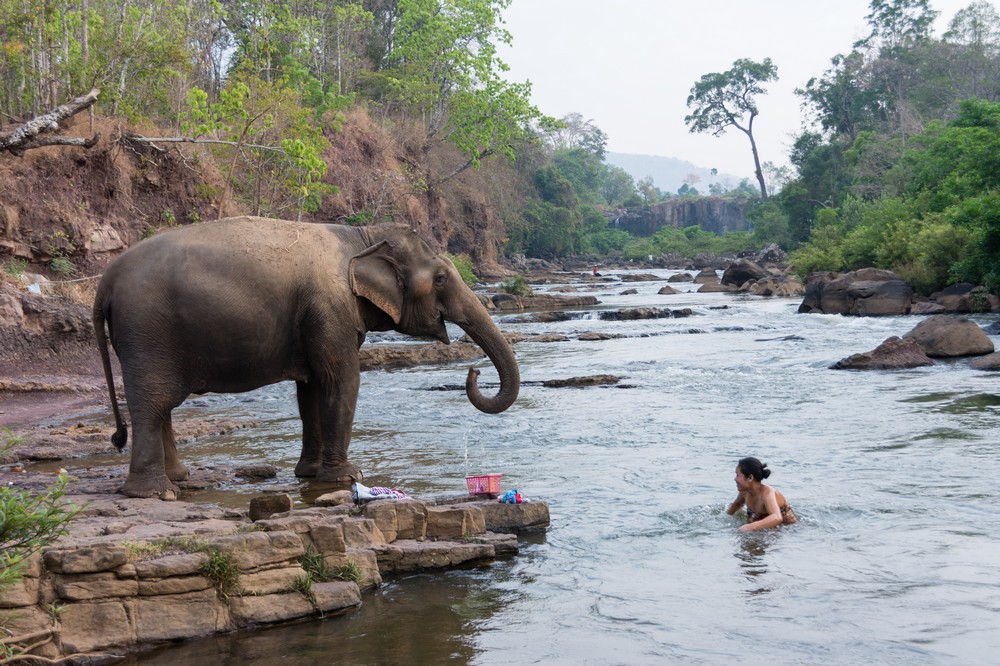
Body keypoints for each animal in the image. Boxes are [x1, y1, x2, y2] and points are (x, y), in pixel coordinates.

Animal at [94, 217, 520, 498]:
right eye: (442, 278)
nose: (472, 371)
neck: (361, 236)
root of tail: (105, 282)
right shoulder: (329, 308)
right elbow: (341, 380)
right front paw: (347, 476)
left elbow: (311, 388)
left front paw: (311, 474)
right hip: (148, 332)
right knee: (153, 401)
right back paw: (155, 493)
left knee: (160, 405)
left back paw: (179, 478)